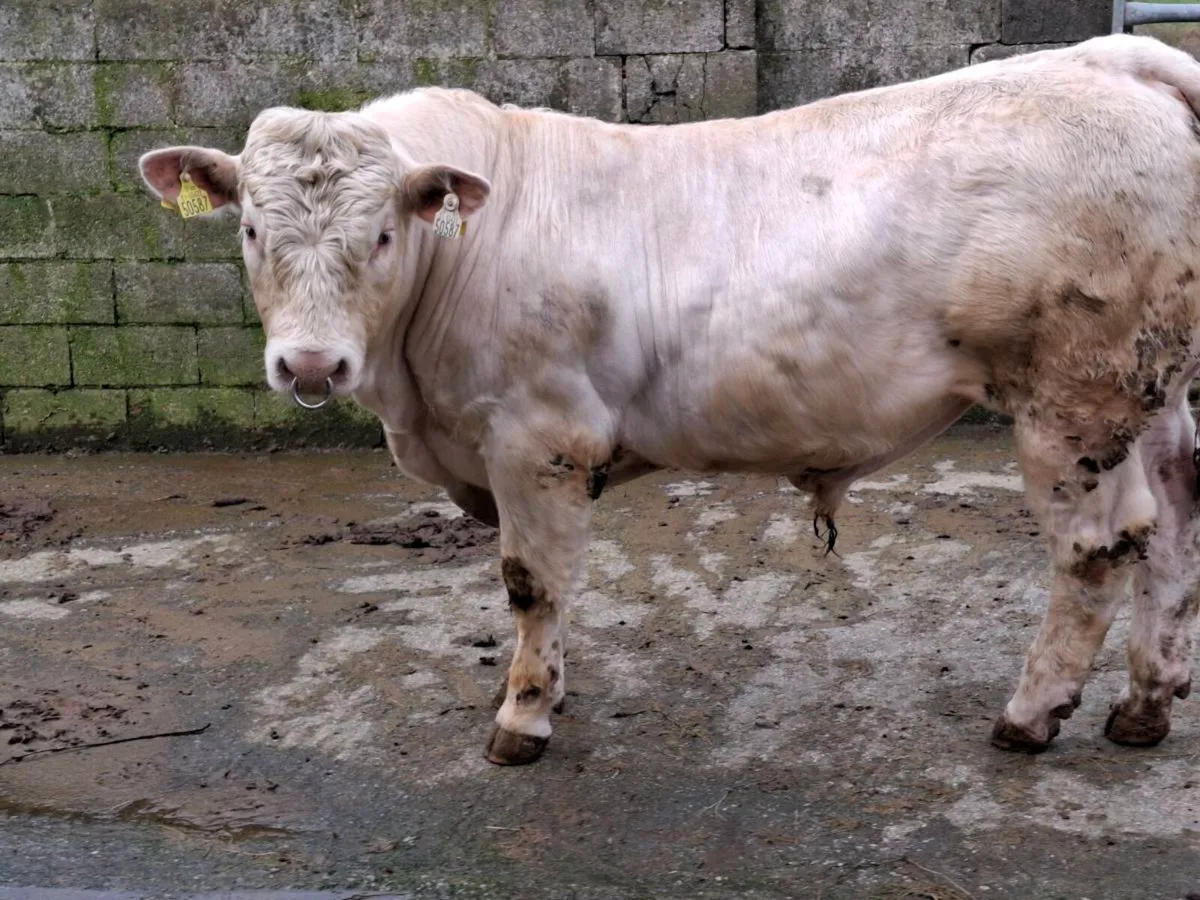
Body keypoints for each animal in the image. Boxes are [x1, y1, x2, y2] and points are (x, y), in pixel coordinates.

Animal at [139, 34, 1200, 766]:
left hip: (1074, 400)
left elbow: (531, 582)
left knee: (1097, 550)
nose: (312, 366)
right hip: (1151, 393)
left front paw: (524, 715)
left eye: (385, 236)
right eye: (248, 230)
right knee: (1173, 527)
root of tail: (1114, 59)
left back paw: (1031, 715)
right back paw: (1144, 705)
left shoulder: (537, 438)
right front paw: (552, 693)